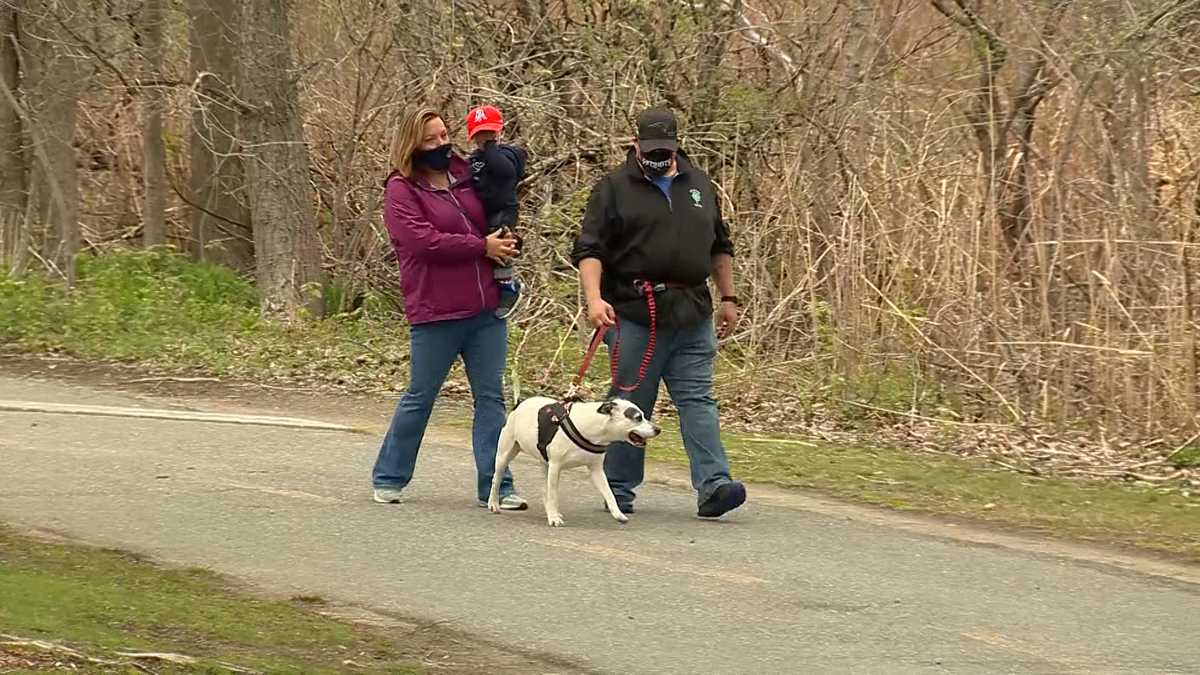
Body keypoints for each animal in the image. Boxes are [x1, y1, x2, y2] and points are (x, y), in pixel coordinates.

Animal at [482, 393, 662, 526]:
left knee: (544, 490)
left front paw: (618, 514)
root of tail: (519, 403)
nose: (658, 429)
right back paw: (493, 504)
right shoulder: (556, 467)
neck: (592, 426)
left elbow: (609, 493)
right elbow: (554, 494)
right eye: (637, 417)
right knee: (496, 480)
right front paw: (554, 518)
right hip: (505, 455)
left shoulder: (597, 470)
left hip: (544, 465)